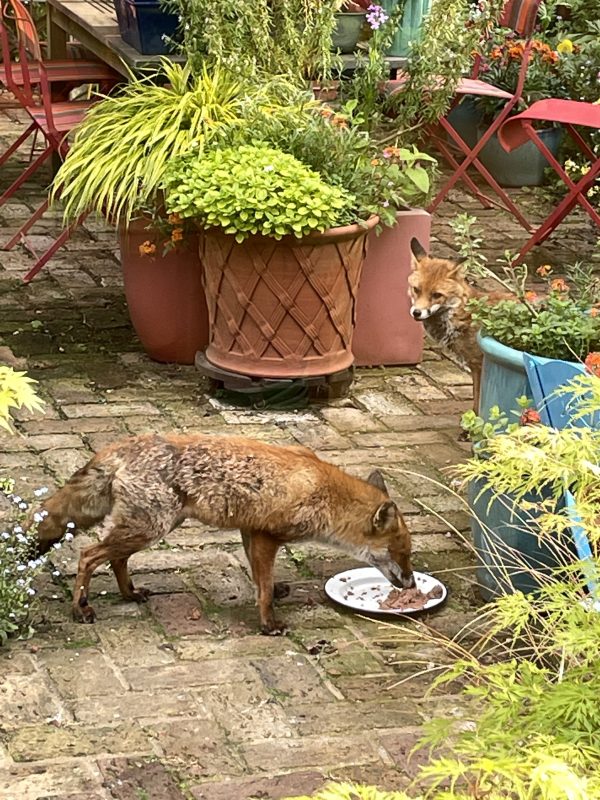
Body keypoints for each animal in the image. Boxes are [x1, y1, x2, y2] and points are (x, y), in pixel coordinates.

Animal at [32, 434, 414, 636]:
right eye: (402, 553)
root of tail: (119, 446)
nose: (410, 585)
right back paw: (80, 608)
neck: (323, 492)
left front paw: (272, 594)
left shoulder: (250, 530)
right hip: (150, 528)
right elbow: (263, 589)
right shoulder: (267, 536)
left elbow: (260, 580)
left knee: (116, 559)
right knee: (88, 557)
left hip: (150, 527)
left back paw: (129, 593)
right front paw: (269, 623)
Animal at [408, 238, 510, 412]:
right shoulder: (475, 366)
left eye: (436, 295)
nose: (416, 312)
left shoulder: (480, 365)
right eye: (416, 289)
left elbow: (478, 404)